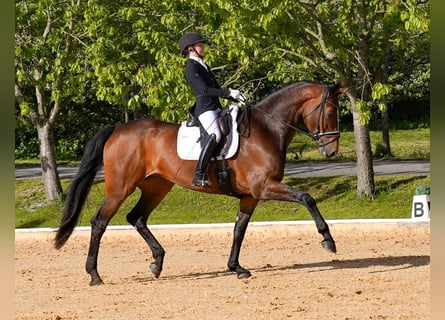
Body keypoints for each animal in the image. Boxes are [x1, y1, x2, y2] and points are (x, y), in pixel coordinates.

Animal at [54, 80, 346, 284]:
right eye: (331, 112)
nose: (331, 151)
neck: (266, 130)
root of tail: (118, 129)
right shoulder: (264, 187)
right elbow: (307, 197)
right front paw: (328, 241)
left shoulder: (250, 196)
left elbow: (239, 230)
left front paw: (237, 268)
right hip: (120, 188)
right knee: (99, 222)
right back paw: (94, 275)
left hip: (157, 186)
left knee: (136, 217)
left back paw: (157, 263)